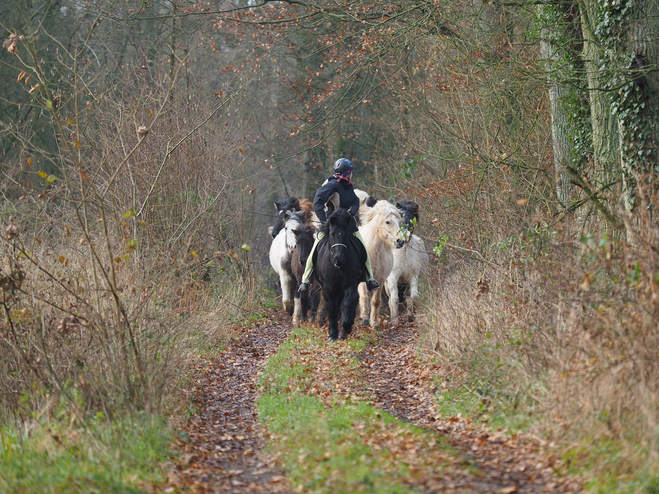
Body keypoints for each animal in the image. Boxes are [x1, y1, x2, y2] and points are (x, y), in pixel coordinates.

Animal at [314, 207, 366, 340]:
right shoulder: (328, 288)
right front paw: (332, 334)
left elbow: (348, 303)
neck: (337, 268)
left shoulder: (350, 284)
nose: (339, 259)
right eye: (332, 234)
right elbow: (332, 309)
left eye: (346, 234)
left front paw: (345, 328)